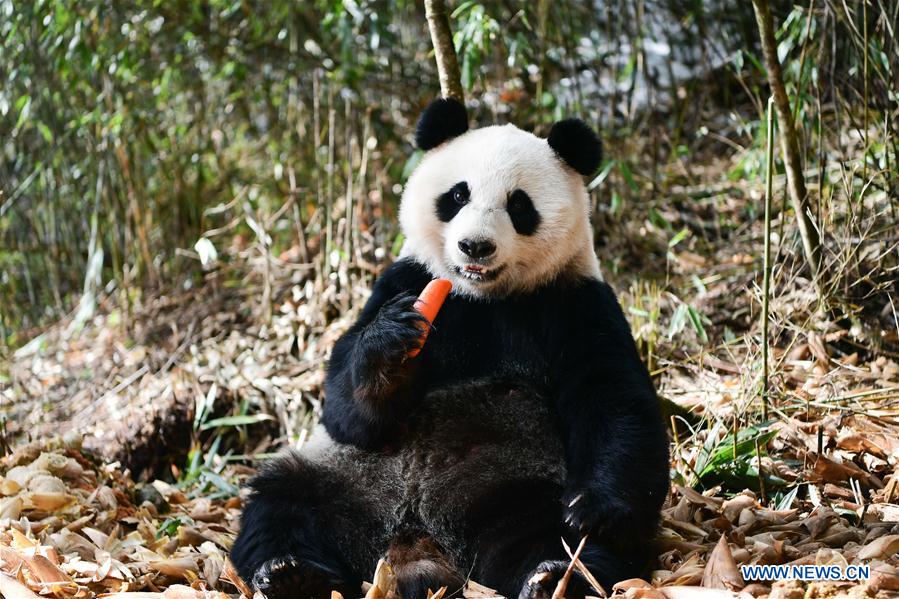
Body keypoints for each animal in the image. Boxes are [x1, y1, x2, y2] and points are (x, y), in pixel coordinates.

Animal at [230, 98, 670, 599]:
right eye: (458, 195)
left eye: (519, 205)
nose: (475, 246)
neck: (481, 297)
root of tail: (416, 544)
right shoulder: (405, 280)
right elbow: (346, 411)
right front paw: (392, 347)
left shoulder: (573, 302)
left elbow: (613, 399)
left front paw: (598, 511)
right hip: (344, 476)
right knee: (281, 502)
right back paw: (291, 573)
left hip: (511, 479)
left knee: (547, 528)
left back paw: (558, 575)